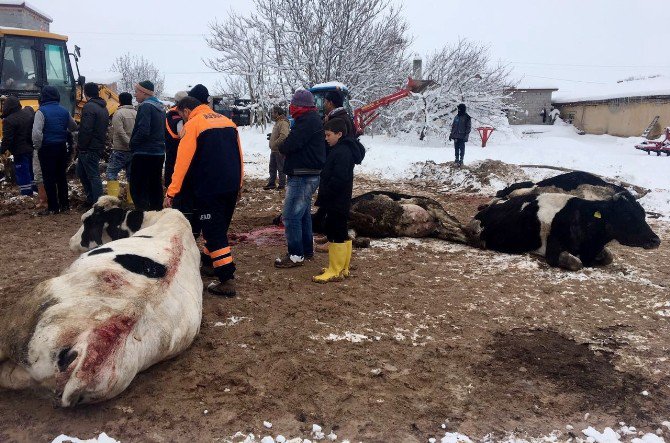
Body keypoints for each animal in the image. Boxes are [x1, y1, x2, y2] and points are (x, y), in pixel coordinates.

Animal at [470, 192, 664, 270]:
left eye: (643, 214)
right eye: (627, 216)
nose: (656, 240)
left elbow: (609, 256)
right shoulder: (553, 251)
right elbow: (576, 263)